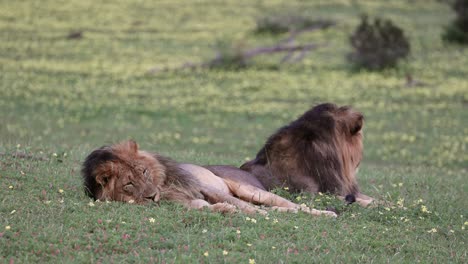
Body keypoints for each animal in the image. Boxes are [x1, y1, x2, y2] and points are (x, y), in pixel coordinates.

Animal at [81, 140, 336, 217]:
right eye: (129, 184)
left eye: (143, 172)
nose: (153, 196)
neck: (162, 184)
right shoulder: (176, 202)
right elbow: (202, 207)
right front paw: (225, 210)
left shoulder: (206, 188)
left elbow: (240, 205)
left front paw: (255, 214)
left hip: (251, 189)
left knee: (292, 205)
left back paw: (326, 214)